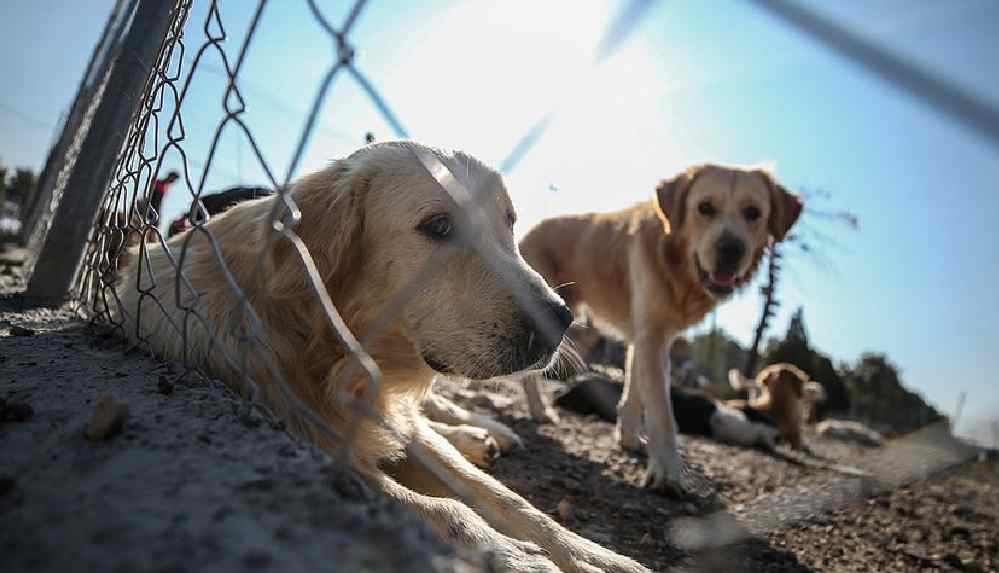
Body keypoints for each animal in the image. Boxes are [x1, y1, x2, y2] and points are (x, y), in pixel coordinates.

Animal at [115, 140, 648, 572]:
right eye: (438, 226)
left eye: (509, 223)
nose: (562, 320)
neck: (332, 348)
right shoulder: (308, 440)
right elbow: (444, 509)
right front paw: (515, 556)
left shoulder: (394, 418)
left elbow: (508, 500)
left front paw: (597, 556)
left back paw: (483, 432)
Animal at [516, 163, 804, 494]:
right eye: (705, 207)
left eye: (753, 212)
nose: (731, 250)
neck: (677, 264)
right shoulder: (651, 338)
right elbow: (661, 410)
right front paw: (667, 471)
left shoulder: (646, 337)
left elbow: (634, 394)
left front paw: (630, 439)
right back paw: (539, 410)